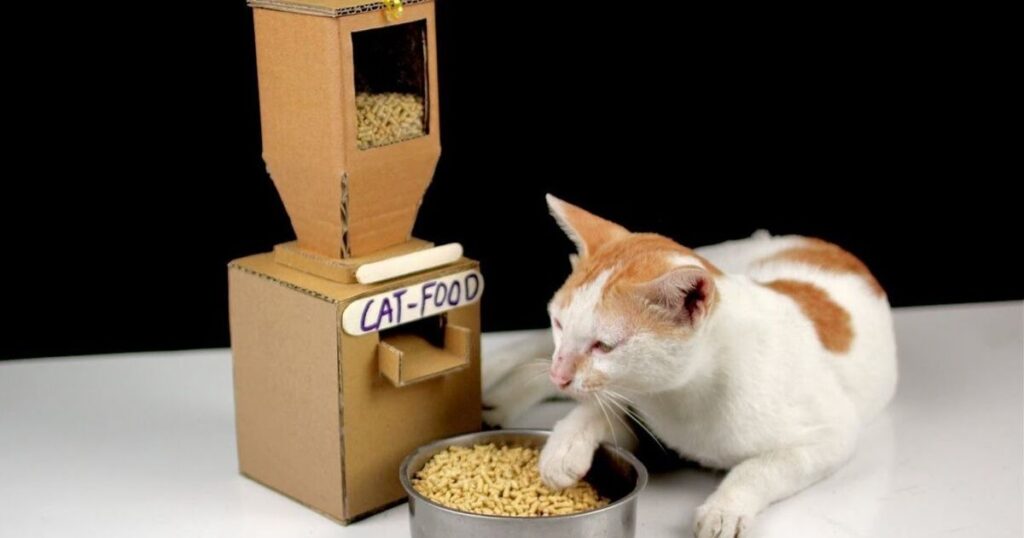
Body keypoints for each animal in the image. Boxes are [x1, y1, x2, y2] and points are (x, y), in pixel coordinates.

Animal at [483, 195, 892, 536]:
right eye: (559, 322)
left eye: (604, 346)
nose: (561, 374)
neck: (685, 393)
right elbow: (597, 410)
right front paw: (564, 445)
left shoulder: (832, 436)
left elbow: (760, 468)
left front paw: (724, 510)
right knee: (533, 354)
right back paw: (497, 388)